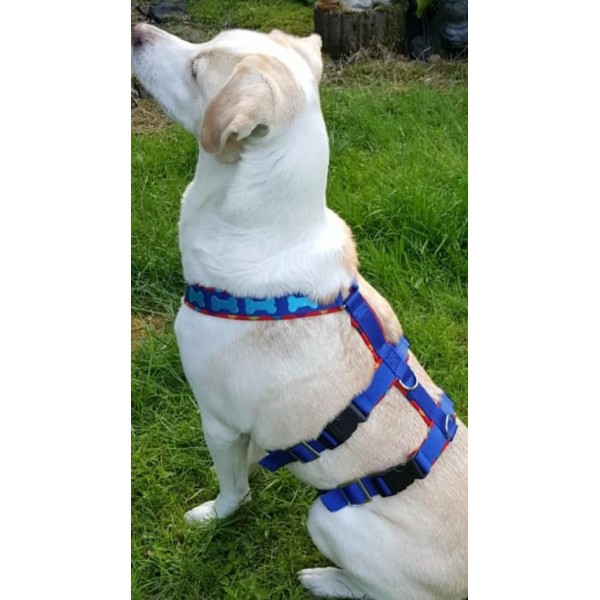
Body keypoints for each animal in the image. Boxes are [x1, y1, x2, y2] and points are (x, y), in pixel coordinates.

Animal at [132, 23, 467, 600]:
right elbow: (250, 463)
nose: (136, 30)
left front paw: (213, 515)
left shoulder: (217, 420)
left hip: (329, 518)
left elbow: (232, 488)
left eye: (197, 68)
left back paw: (323, 578)